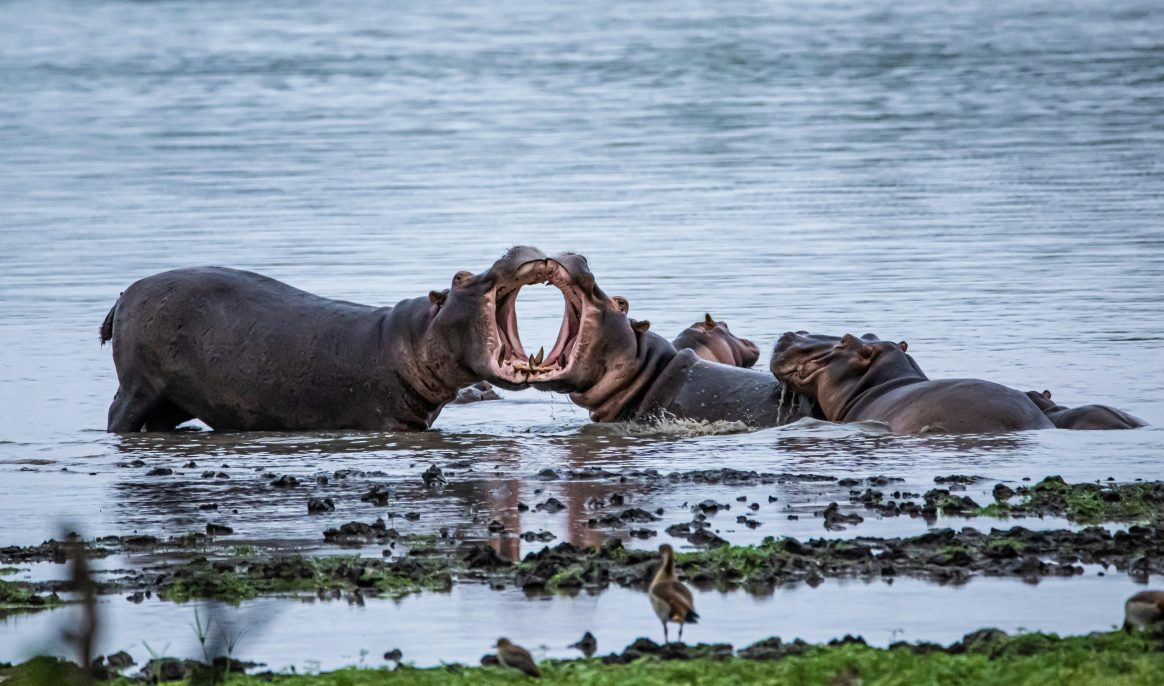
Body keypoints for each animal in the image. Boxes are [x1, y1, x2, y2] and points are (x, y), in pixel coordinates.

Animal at [100, 246, 577, 432]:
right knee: (118, 415)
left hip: (172, 402)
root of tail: (124, 293)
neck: (415, 335)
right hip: (139, 386)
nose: (513, 249)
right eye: (460, 277)